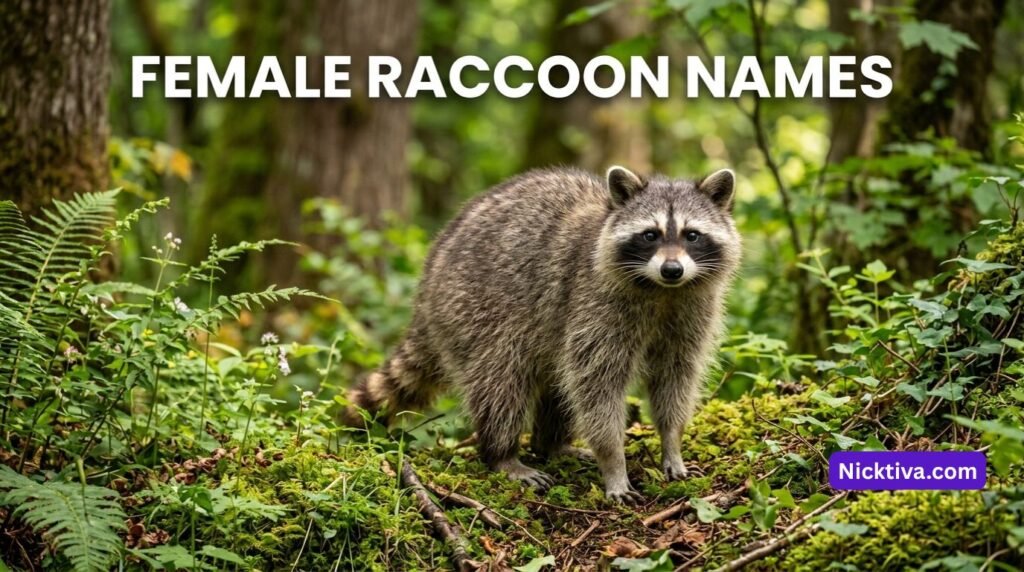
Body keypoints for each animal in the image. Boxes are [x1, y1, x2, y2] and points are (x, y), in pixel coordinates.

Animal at [346, 165, 741, 503]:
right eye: (650, 235)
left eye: (692, 235)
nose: (672, 269)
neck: (662, 291)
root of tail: (427, 287)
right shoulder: (593, 301)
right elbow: (597, 386)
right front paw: (613, 462)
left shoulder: (692, 310)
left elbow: (676, 375)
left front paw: (672, 442)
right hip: (472, 310)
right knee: (502, 382)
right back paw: (503, 454)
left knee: (556, 383)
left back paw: (551, 444)